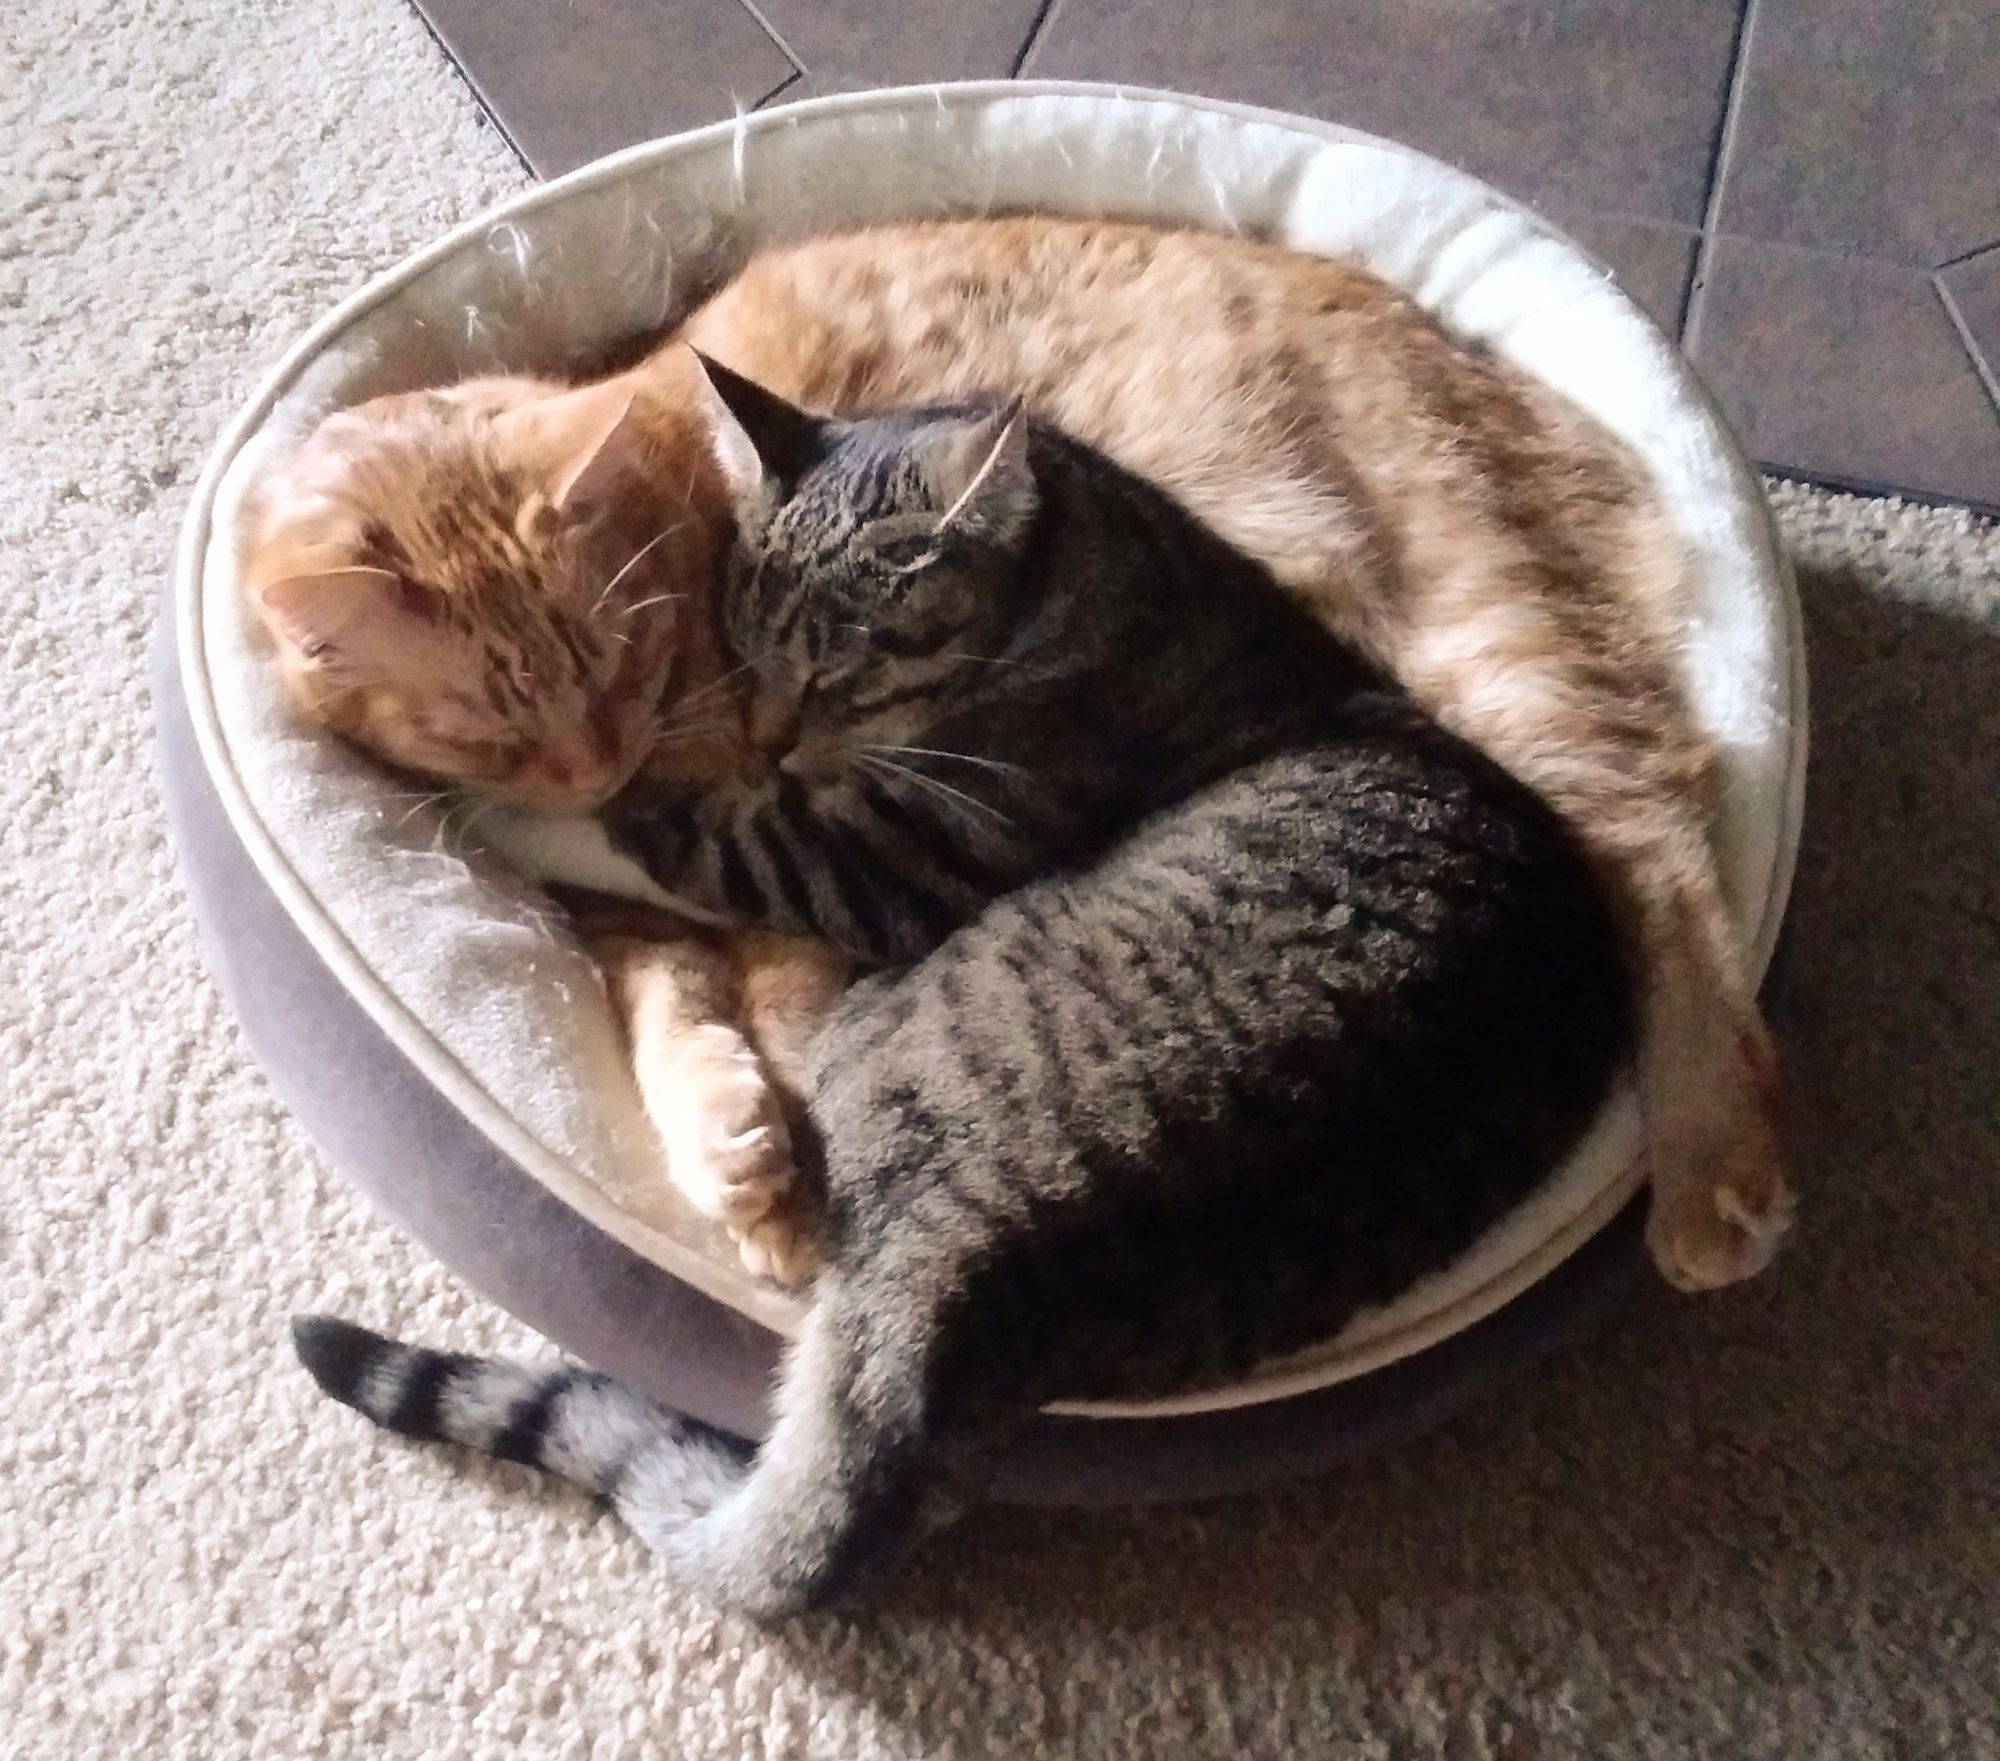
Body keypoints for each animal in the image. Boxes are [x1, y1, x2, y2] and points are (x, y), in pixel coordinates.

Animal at [238, 217, 1800, 1296]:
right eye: (498, 726)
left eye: (614, 663)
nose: (595, 768)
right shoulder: (633, 900)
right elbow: (669, 1007)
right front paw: (734, 1149)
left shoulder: (805, 829)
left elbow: (770, 965)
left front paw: (799, 1172)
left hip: (1481, 648)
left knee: (1658, 854)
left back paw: (1715, 1169)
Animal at [300, 378, 1640, 1616]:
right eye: (744, 637)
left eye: (841, 675)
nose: (770, 737)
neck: (1084, 564)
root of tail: (971, 1258)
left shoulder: (892, 853)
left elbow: (663, 830)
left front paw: (505, 810)